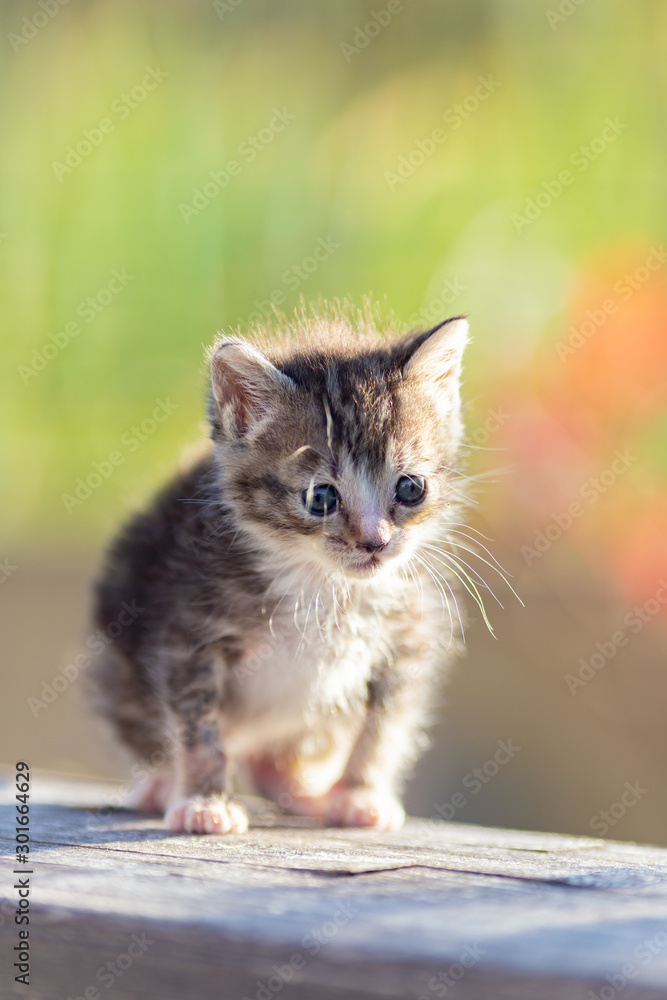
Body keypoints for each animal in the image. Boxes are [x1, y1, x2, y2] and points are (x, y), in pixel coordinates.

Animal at [91, 308, 472, 832]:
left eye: (411, 488)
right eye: (321, 497)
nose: (374, 542)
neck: (323, 584)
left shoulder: (408, 638)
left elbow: (384, 727)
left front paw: (361, 792)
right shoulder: (185, 634)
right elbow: (199, 729)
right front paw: (204, 801)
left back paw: (303, 790)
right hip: (119, 667)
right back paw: (163, 784)